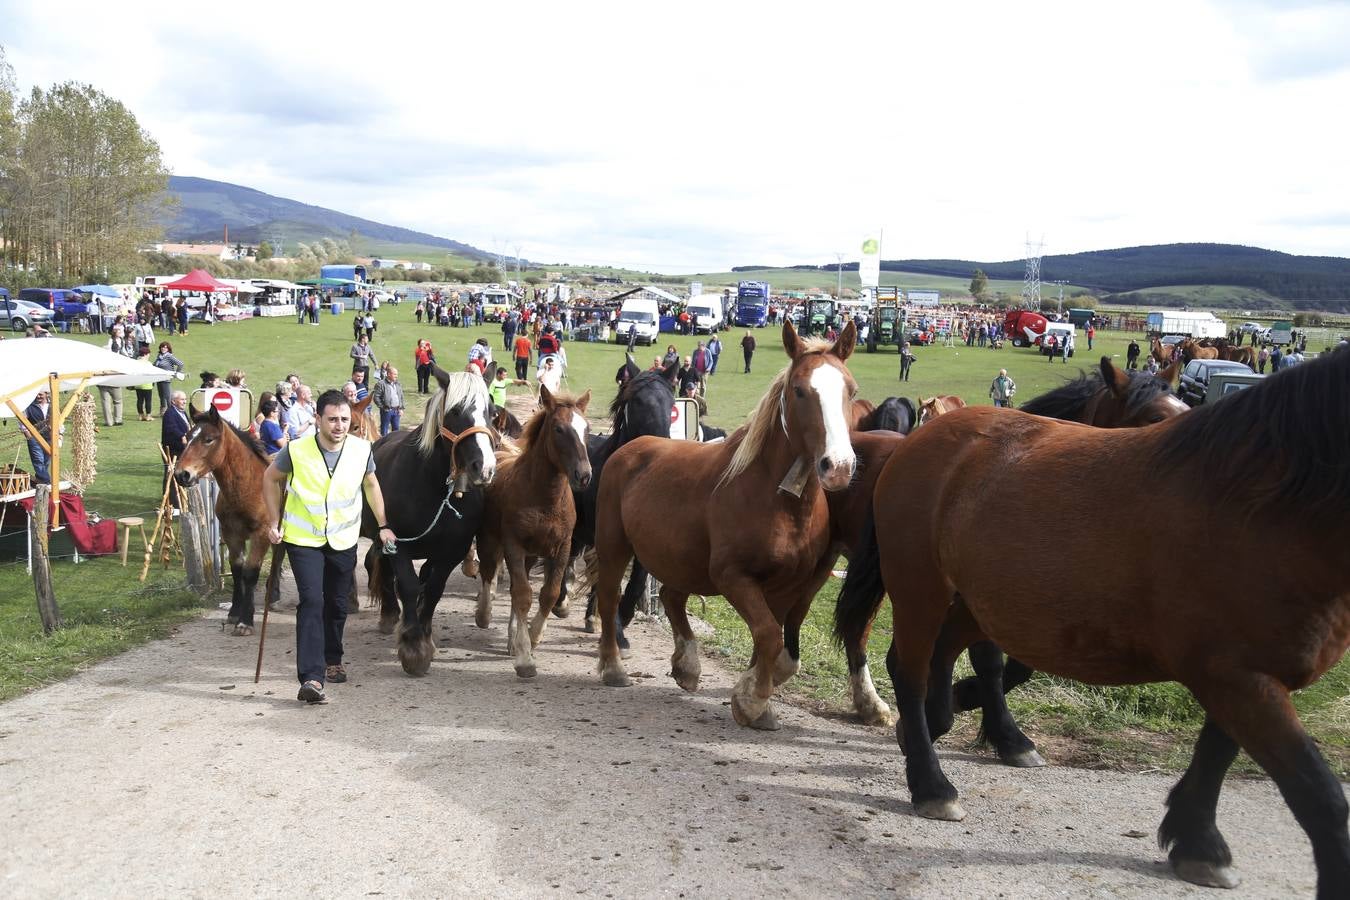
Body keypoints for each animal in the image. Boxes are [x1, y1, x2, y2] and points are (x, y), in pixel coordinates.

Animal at [172, 404, 280, 636]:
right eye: (188, 436)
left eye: (208, 439)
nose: (181, 475)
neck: (248, 487)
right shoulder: (230, 533)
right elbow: (237, 569)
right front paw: (234, 612)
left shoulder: (261, 534)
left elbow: (250, 572)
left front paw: (245, 621)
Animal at [361, 367, 499, 674]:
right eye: (456, 411)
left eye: (492, 411)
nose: (484, 468)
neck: (435, 488)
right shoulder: (397, 543)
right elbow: (409, 586)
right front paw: (413, 647)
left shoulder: (452, 551)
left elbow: (434, 589)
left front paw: (423, 635)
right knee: (378, 565)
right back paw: (390, 614)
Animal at [477, 385, 594, 674]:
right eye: (559, 429)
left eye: (586, 428)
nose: (584, 475)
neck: (545, 500)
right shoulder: (514, 546)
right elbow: (522, 595)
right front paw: (524, 656)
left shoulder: (562, 547)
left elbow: (547, 594)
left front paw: (532, 637)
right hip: (490, 540)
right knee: (488, 573)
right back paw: (483, 614)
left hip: (530, 555)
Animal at [588, 323, 853, 734]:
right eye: (800, 390)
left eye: (850, 390)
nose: (838, 466)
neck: (779, 499)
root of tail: (630, 448)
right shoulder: (732, 577)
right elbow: (767, 635)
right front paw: (752, 701)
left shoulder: (788, 585)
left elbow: (770, 640)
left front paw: (756, 700)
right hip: (615, 545)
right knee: (608, 598)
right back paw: (614, 667)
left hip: (677, 556)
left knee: (671, 598)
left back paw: (686, 665)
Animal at [831, 345, 1350, 895]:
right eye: (1151, 418)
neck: (1261, 505)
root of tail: (915, 444)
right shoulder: (1236, 677)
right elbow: (1319, 796)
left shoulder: (1243, 675)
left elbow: (1217, 752)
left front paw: (1197, 839)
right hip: (922, 589)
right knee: (909, 670)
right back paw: (931, 781)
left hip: (966, 602)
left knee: (936, 656)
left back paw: (934, 724)